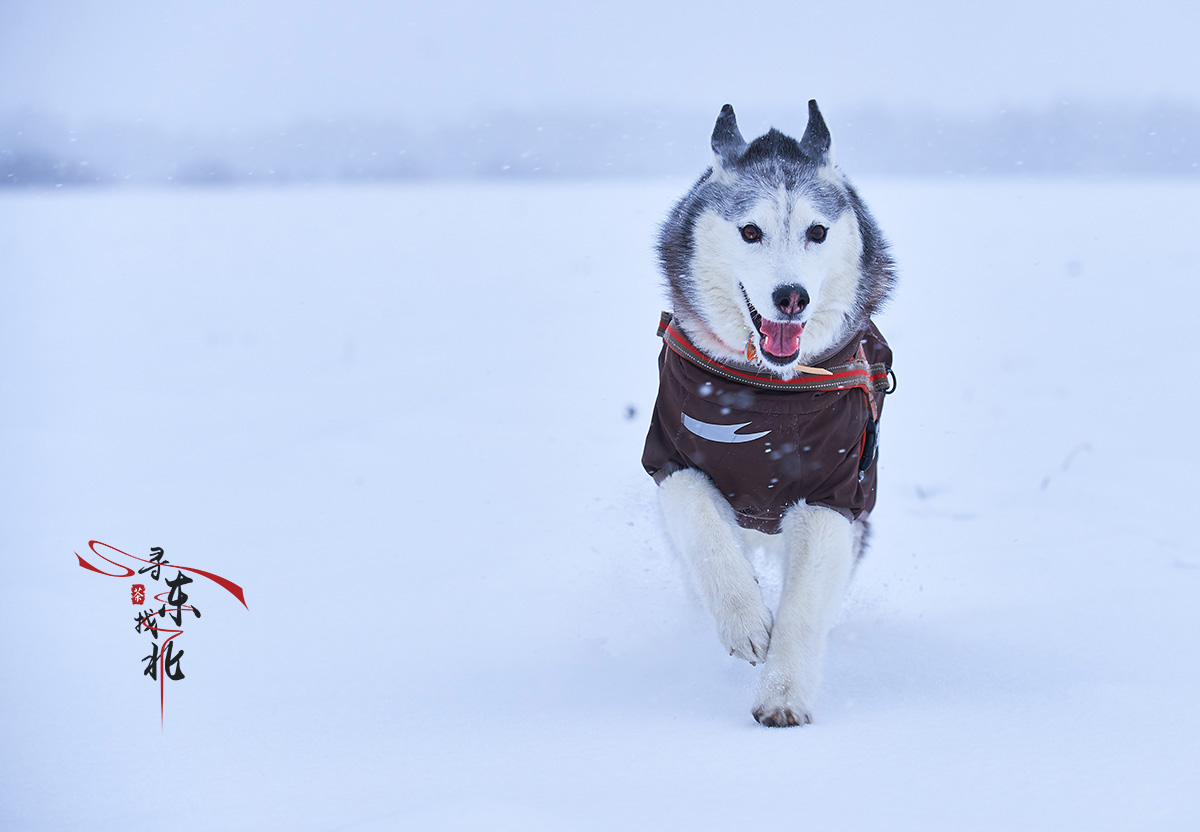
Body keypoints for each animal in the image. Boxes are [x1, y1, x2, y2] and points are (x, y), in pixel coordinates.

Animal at [643, 102, 897, 725]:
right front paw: (744, 619)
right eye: (750, 231)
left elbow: (804, 603)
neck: (767, 396)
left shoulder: (837, 494)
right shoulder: (671, 456)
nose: (791, 297)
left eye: (817, 232)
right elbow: (704, 532)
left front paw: (784, 692)